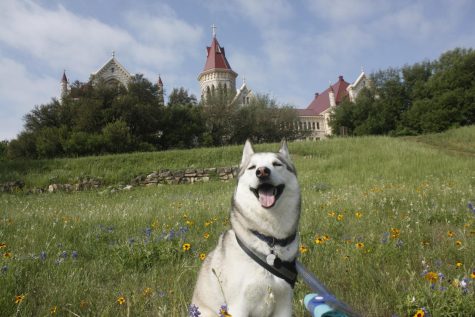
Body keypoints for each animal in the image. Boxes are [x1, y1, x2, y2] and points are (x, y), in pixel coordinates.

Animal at [191, 140, 300, 316]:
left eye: (277, 164)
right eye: (252, 167)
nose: (262, 172)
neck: (269, 239)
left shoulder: (284, 303)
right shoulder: (238, 306)